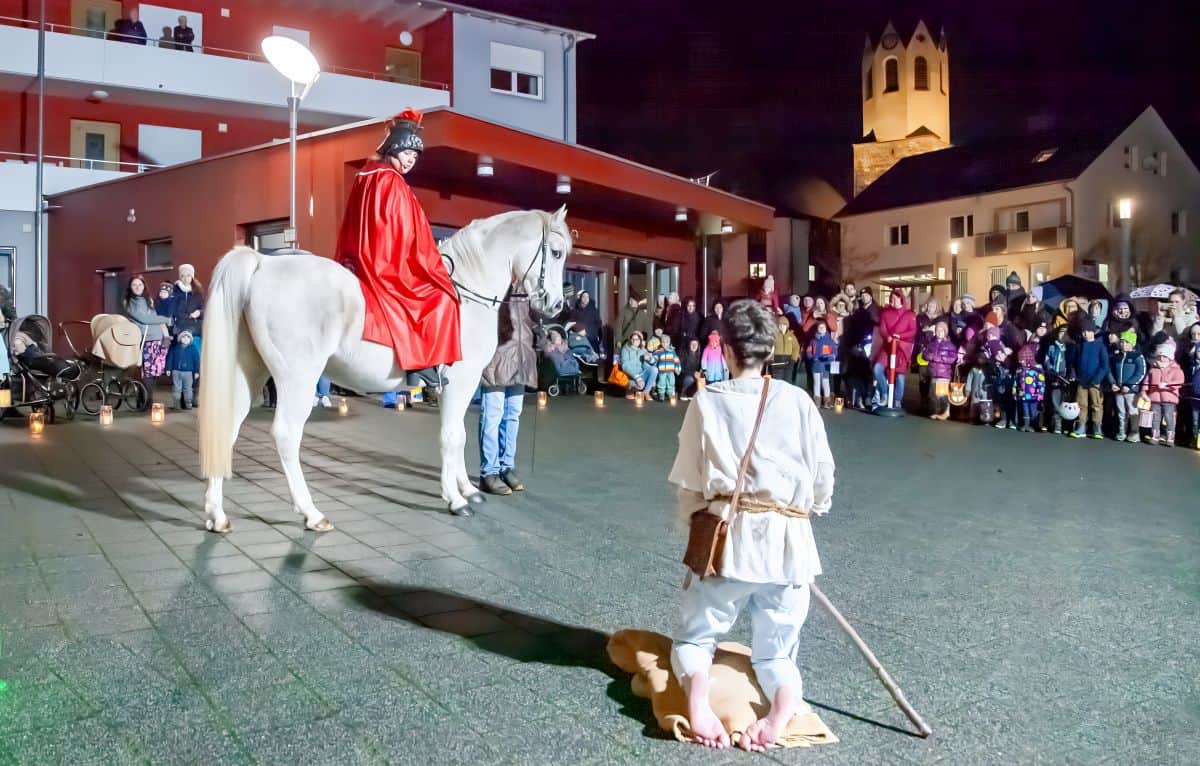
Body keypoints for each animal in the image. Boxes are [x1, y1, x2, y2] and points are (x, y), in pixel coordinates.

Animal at [196, 210, 571, 533]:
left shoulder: (454, 387)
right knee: (287, 435)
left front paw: (467, 488)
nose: (554, 304)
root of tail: (264, 263)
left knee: (227, 427)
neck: (466, 293)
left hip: (250, 374)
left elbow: (459, 436)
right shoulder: (461, 383)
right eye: (555, 252)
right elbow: (453, 437)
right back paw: (311, 513)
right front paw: (455, 499)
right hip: (298, 379)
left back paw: (217, 514)